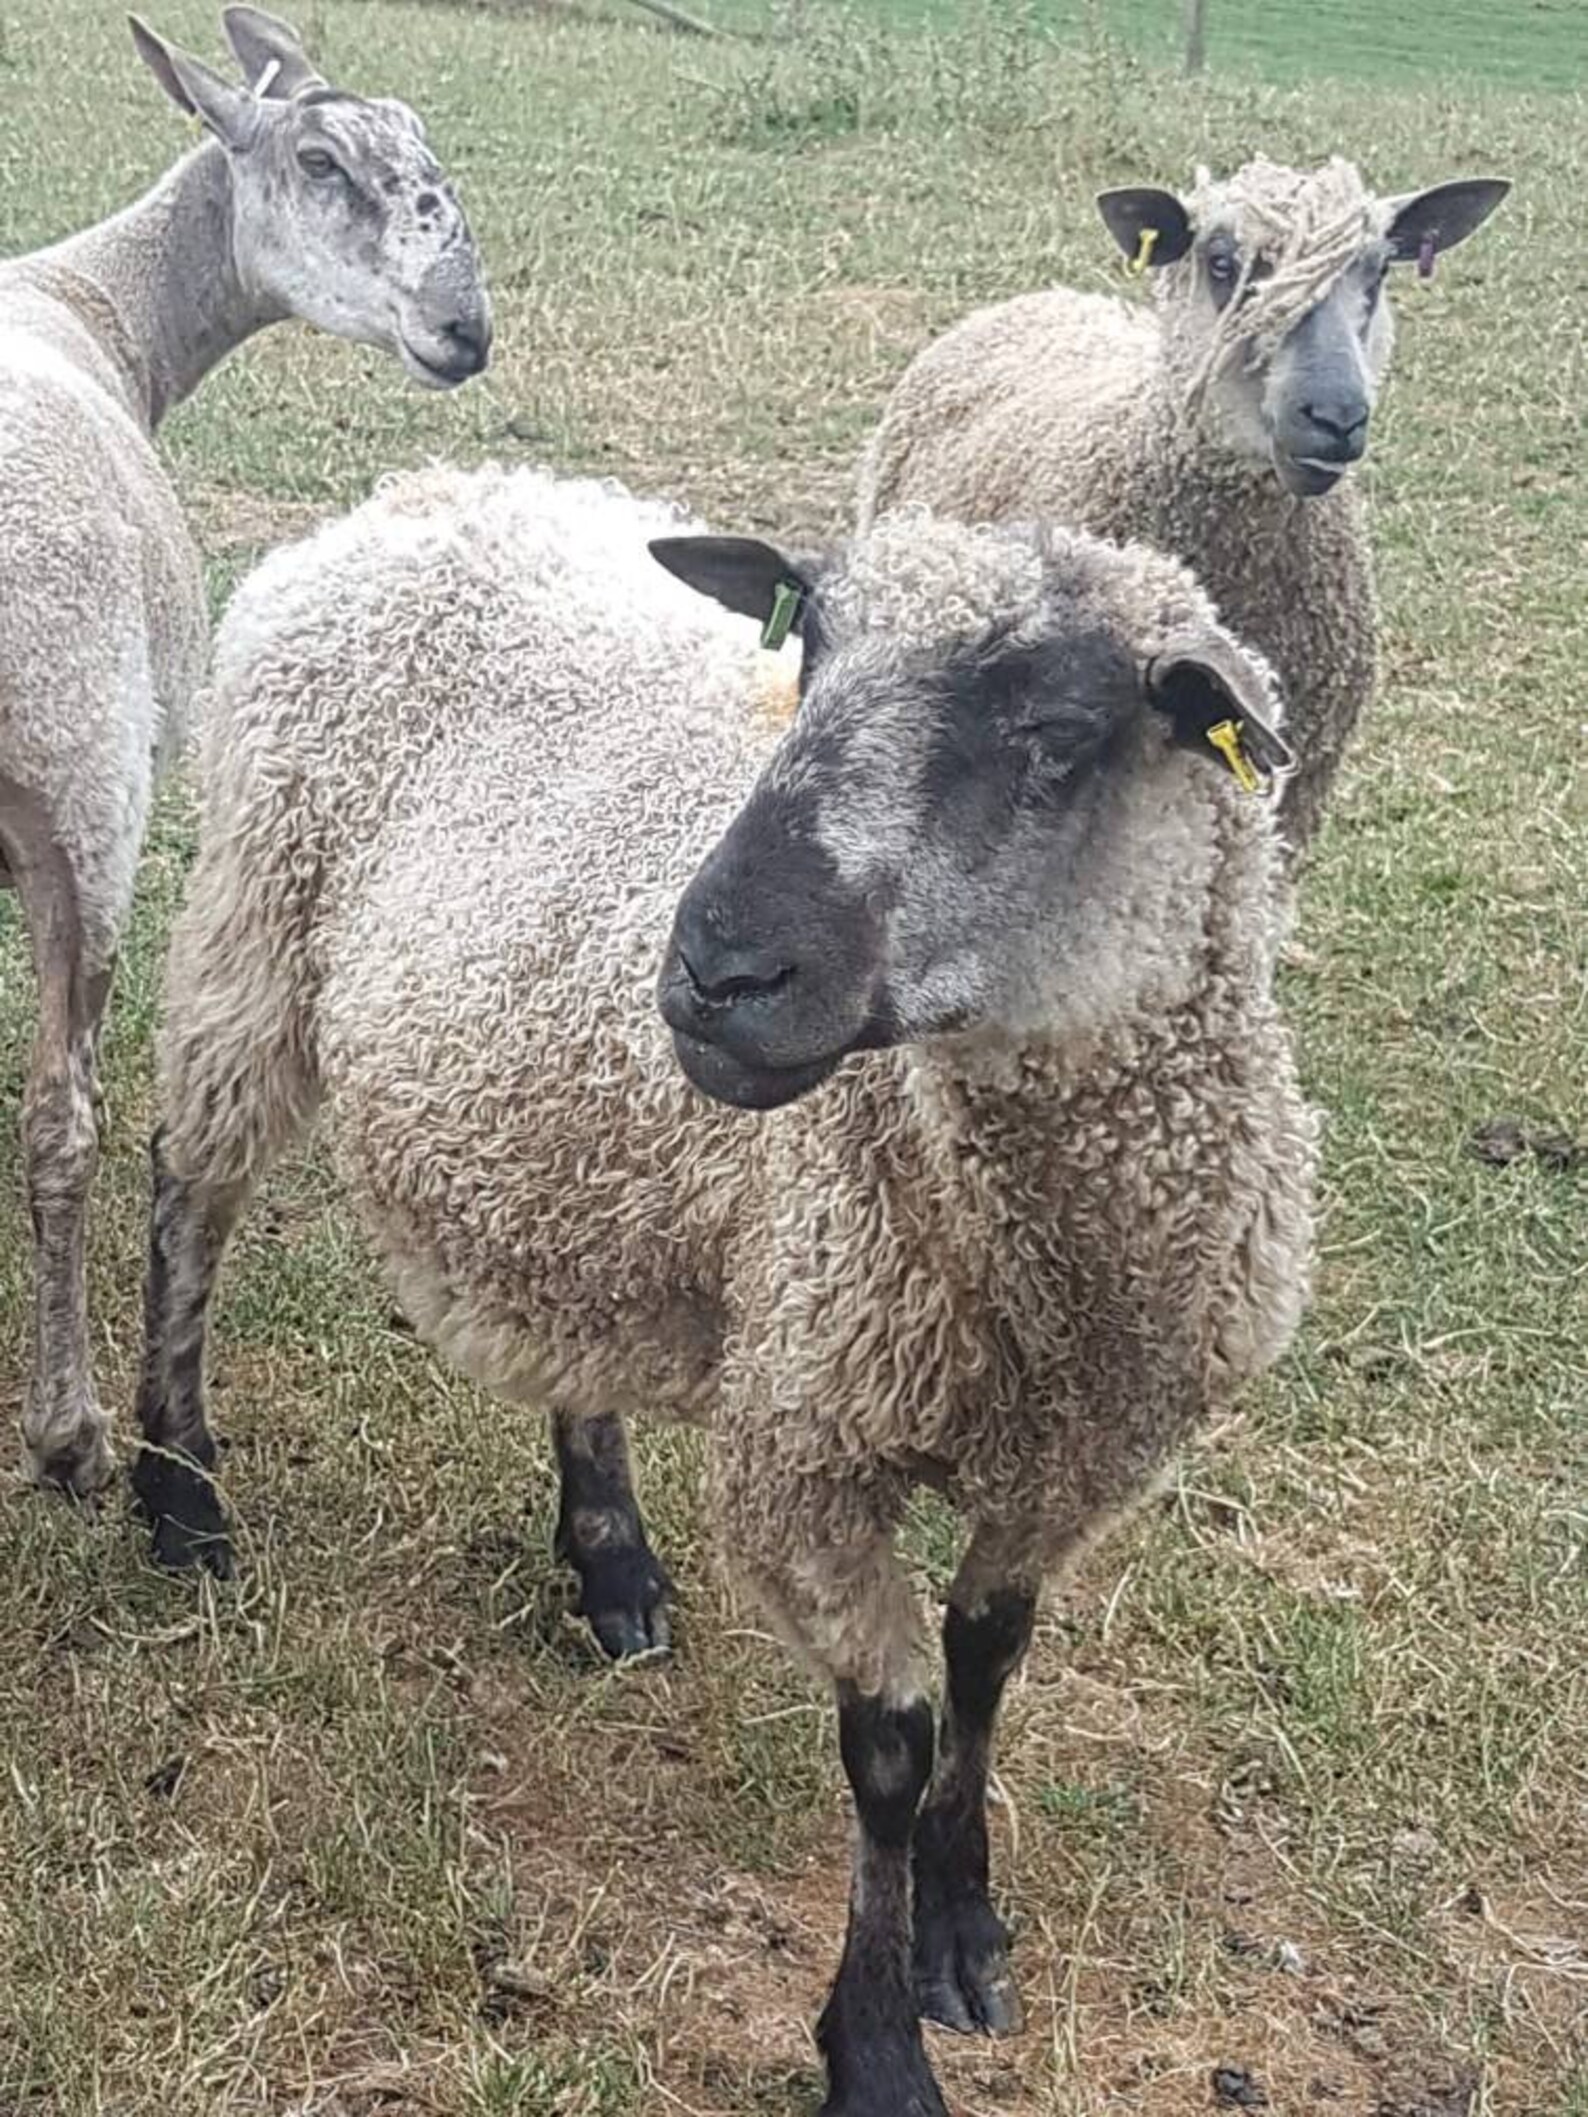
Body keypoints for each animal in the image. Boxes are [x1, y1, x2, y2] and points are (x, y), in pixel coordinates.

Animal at [0, 7, 489, 1497]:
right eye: (321, 160)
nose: (468, 327)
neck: (98, 308)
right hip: (87, 783)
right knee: (61, 1120)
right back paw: (70, 1431)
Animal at [138, 462, 1317, 2116]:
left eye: (1059, 734)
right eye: (807, 654)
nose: (712, 968)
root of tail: (430, 491)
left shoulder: (1081, 1457)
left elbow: (988, 1662)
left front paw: (966, 1927)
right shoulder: (802, 1446)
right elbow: (890, 1735)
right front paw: (876, 2042)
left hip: (565, 1125)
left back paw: (612, 1559)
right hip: (250, 928)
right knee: (186, 1192)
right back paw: (178, 1494)